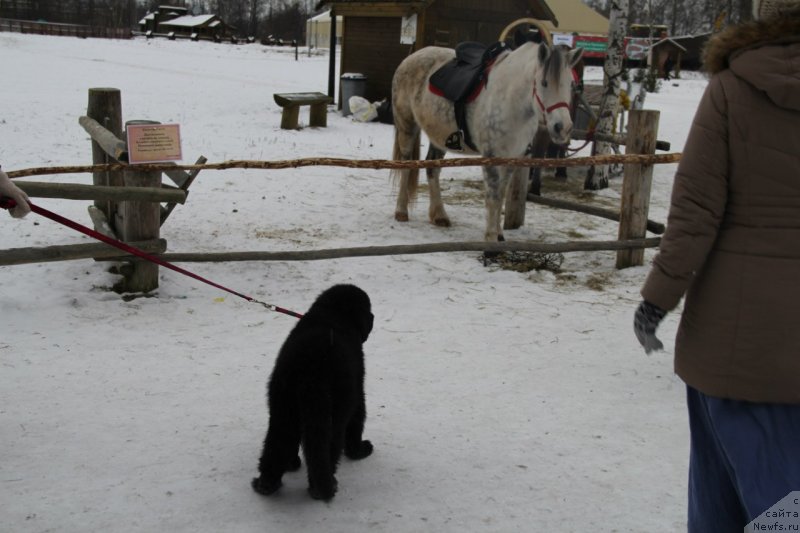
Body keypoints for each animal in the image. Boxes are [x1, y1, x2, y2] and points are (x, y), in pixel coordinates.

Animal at [252, 282, 374, 498]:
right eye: (369, 310)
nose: (374, 317)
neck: (333, 312)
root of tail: (309, 367)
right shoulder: (357, 389)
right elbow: (358, 418)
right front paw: (359, 451)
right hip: (332, 412)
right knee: (327, 447)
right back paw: (323, 488)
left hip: (283, 406)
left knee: (277, 443)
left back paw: (267, 483)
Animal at [392, 41, 580, 241]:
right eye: (544, 83)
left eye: (571, 84)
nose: (563, 127)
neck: (511, 101)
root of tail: (410, 58)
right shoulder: (491, 156)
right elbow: (493, 196)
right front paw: (491, 237)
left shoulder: (512, 158)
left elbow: (502, 193)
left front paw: (499, 234)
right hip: (407, 126)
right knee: (405, 165)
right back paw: (401, 211)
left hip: (439, 137)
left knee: (432, 169)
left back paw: (439, 215)